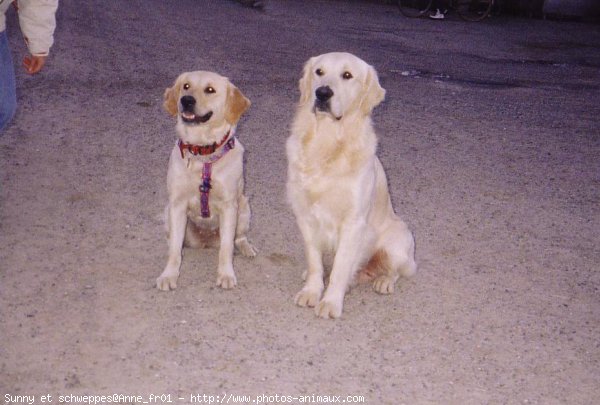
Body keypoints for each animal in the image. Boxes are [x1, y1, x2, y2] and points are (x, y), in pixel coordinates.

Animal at [156, 70, 256, 290]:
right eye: (186, 86)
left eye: (210, 90)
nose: (186, 100)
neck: (203, 154)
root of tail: (206, 240)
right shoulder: (177, 205)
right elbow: (174, 251)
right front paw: (169, 275)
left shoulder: (229, 206)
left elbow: (226, 248)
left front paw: (226, 275)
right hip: (169, 211)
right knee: (173, 241)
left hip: (244, 208)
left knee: (238, 238)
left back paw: (246, 247)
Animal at [286, 52, 418, 318]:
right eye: (319, 72)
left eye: (347, 75)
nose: (322, 93)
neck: (327, 142)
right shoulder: (305, 215)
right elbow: (314, 261)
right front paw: (312, 291)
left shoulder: (353, 222)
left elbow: (340, 268)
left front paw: (330, 302)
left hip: (398, 242)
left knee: (395, 270)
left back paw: (383, 281)